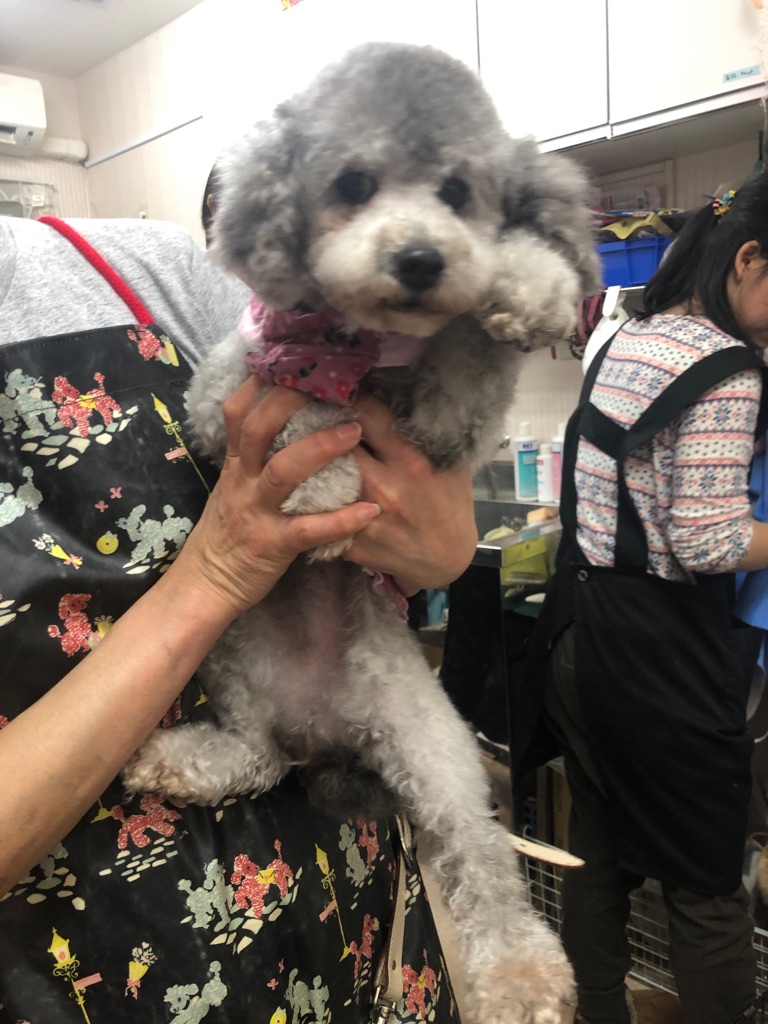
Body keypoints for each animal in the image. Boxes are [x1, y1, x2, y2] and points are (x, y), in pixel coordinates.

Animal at [124, 42, 601, 1024]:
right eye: (352, 183)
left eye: (458, 192)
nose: (419, 258)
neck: (370, 342)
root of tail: (329, 736)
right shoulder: (224, 397)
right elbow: (305, 403)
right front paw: (324, 484)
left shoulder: (444, 429)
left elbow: (469, 348)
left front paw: (525, 284)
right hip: (232, 654)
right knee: (253, 758)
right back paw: (180, 759)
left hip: (432, 738)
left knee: (477, 856)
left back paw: (521, 976)